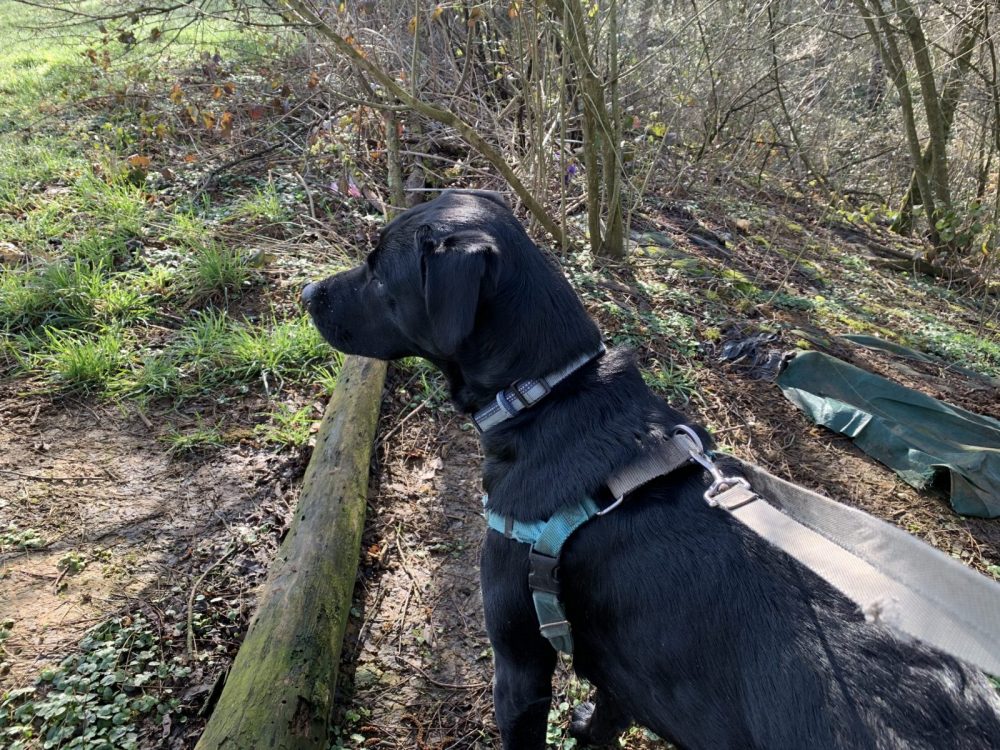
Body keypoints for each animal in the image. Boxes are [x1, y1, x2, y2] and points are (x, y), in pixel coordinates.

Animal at [302, 191, 1000, 748]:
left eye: (378, 270)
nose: (307, 293)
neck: (550, 394)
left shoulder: (520, 663)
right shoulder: (630, 672)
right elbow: (608, 713)